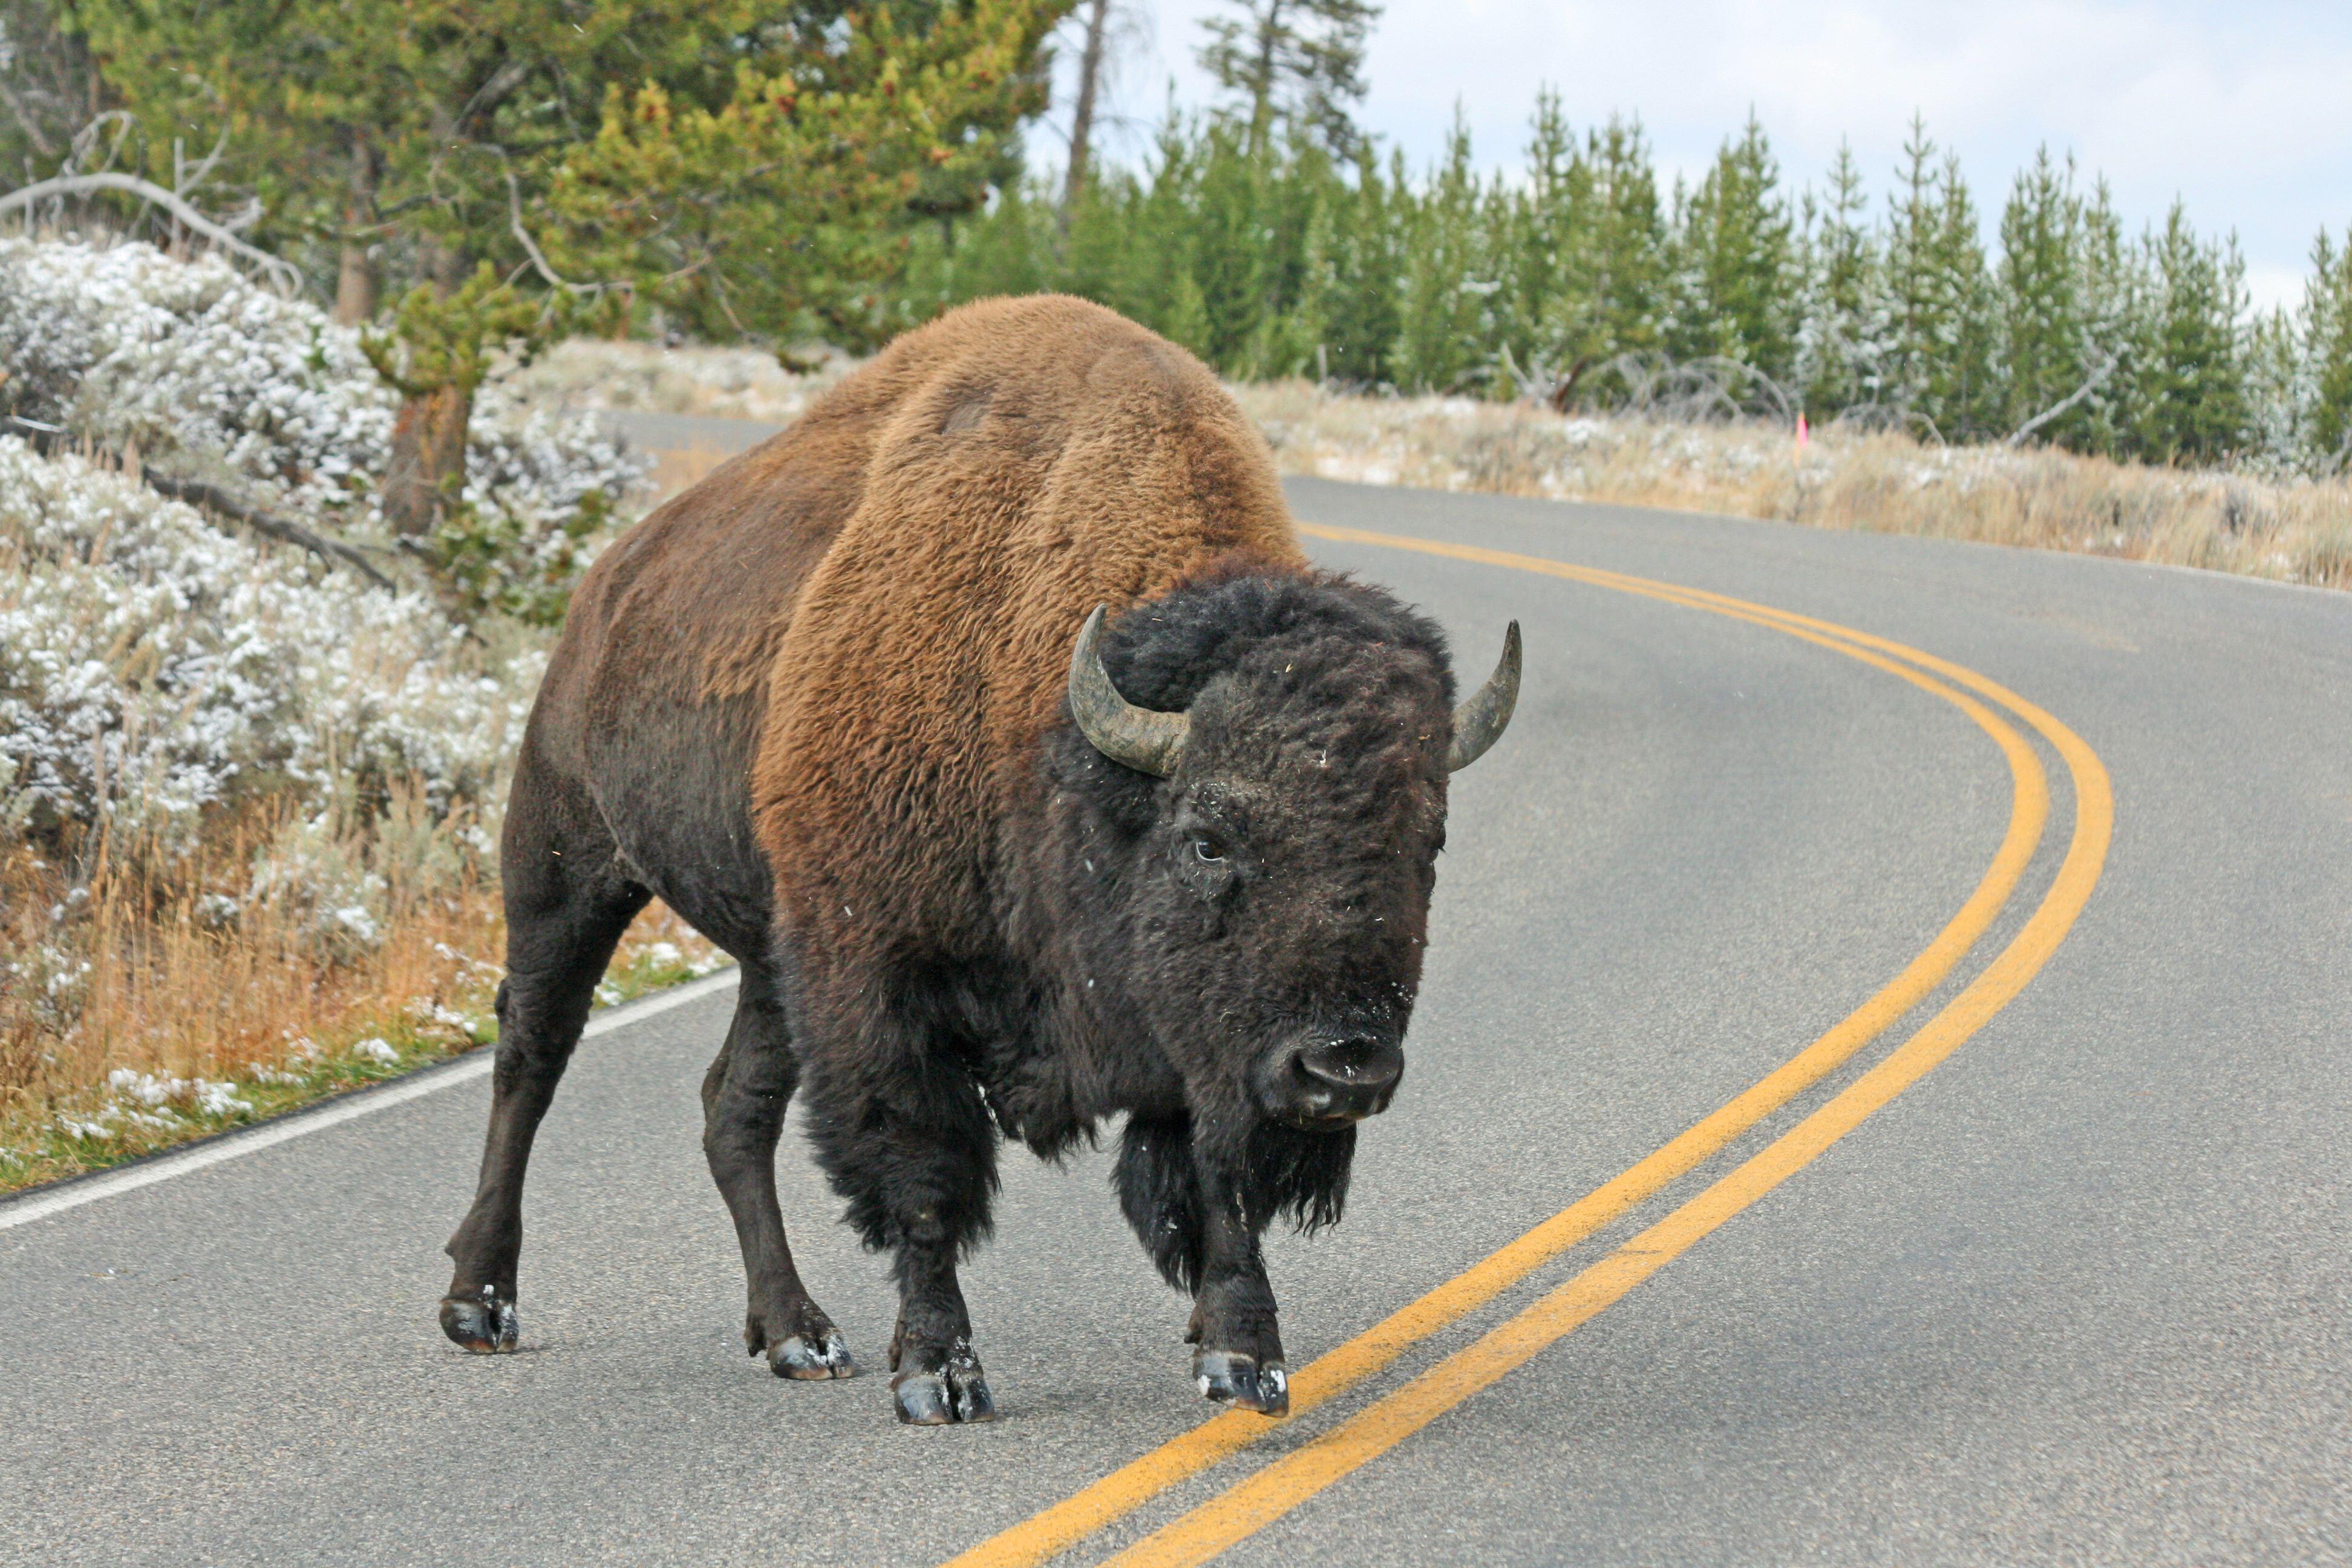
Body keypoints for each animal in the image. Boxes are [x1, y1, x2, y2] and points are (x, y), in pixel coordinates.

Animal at [438, 295, 1519, 1424]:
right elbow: (923, 1175)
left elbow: (1216, 1181)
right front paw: (939, 1376)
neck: (1051, 730)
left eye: (1425, 844)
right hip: (569, 871)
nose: (1343, 1065)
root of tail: (608, 582)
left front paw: (1243, 1358)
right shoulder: (885, 984)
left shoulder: (1196, 1039)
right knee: (531, 1055)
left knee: (732, 1109)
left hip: (774, 957)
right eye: (1208, 836)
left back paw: (799, 1334)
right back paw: (480, 1304)